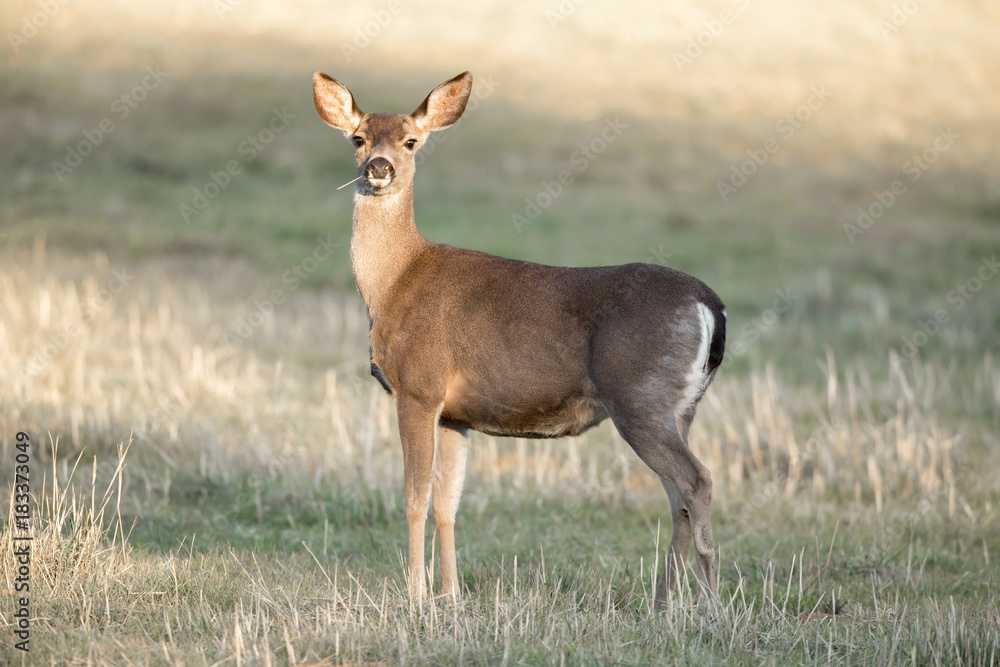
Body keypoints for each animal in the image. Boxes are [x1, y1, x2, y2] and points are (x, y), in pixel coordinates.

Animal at [312, 70, 726, 608]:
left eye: (411, 141)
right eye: (358, 138)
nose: (378, 168)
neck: (392, 283)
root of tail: (709, 303)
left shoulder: (419, 386)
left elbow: (413, 498)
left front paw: (416, 597)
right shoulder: (454, 414)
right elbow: (447, 503)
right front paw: (450, 596)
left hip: (639, 397)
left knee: (696, 481)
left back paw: (711, 605)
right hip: (679, 409)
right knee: (678, 496)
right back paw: (661, 606)